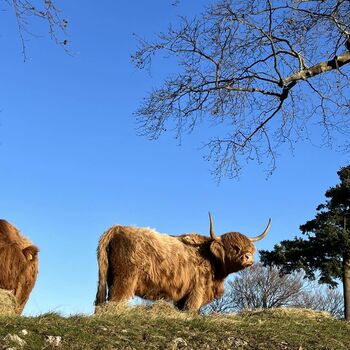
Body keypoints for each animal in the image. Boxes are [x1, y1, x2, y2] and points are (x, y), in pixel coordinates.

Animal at [93, 213, 270, 312]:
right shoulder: (197, 291)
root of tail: (117, 228)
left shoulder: (182, 297)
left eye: (249, 248)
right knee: (114, 303)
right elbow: (191, 311)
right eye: (234, 248)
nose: (248, 257)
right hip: (124, 281)